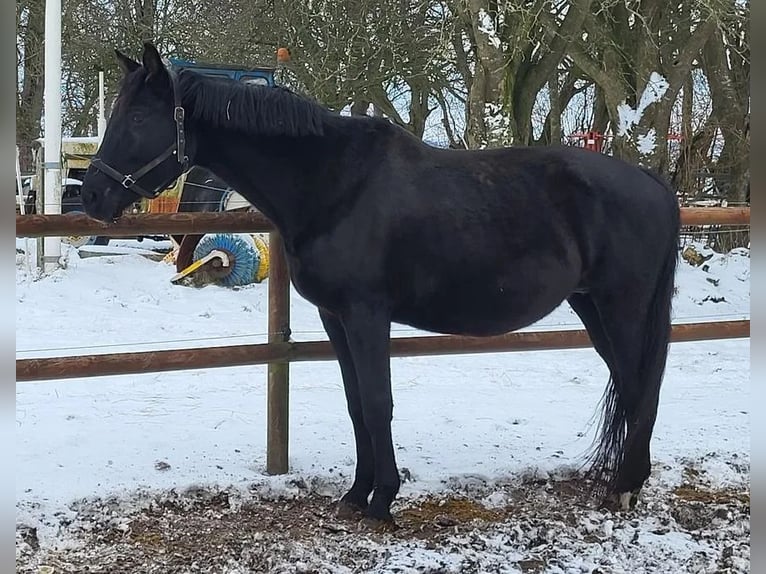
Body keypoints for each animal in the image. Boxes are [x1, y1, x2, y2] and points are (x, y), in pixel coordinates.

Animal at [80, 43, 680, 526]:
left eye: (139, 116)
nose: (90, 197)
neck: (334, 183)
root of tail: (653, 183)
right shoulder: (335, 317)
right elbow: (354, 404)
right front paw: (355, 494)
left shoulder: (367, 314)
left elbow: (376, 402)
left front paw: (382, 501)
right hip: (591, 308)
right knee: (632, 388)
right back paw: (624, 485)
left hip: (622, 309)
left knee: (642, 388)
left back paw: (625, 490)